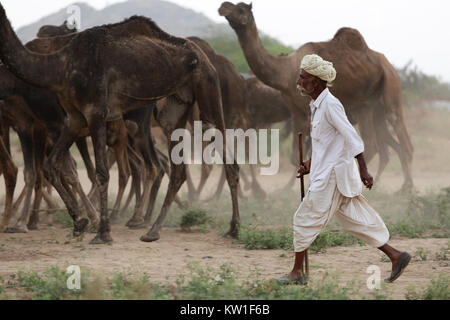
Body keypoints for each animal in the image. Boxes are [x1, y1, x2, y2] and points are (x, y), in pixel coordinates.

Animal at [0, 7, 241, 244]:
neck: (60, 65)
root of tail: (203, 55)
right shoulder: (74, 119)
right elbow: (51, 166)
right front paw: (80, 222)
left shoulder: (95, 112)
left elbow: (101, 173)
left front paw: (102, 233)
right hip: (174, 107)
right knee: (177, 169)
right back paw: (153, 230)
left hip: (207, 86)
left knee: (226, 157)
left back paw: (233, 229)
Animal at [220, 1, 414, 192]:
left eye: (241, 9)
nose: (223, 6)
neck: (284, 72)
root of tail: (387, 64)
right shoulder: (295, 111)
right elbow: (295, 155)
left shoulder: (307, 112)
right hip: (374, 108)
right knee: (386, 144)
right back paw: (400, 185)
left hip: (381, 94)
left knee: (387, 138)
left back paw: (402, 187)